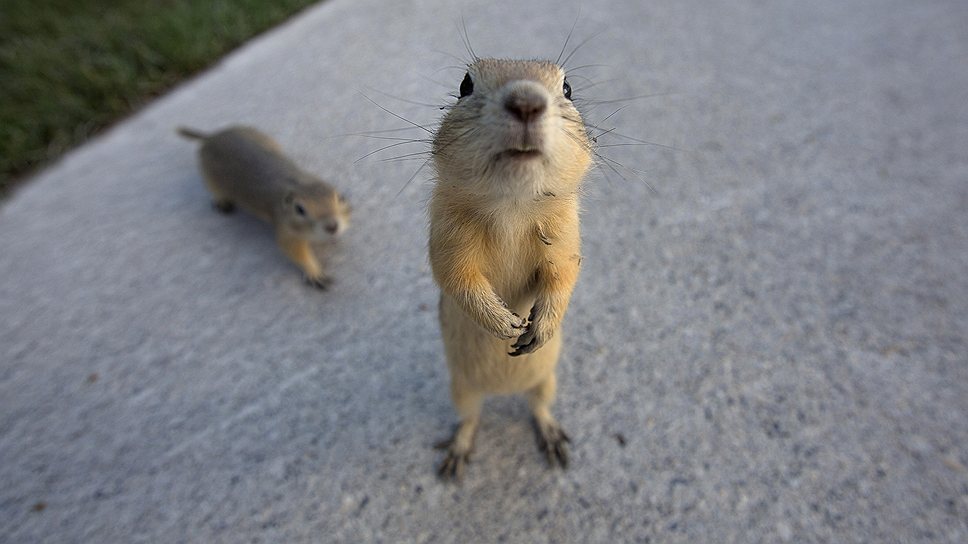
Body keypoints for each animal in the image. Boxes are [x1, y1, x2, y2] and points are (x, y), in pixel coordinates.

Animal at [179, 125, 352, 288]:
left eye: (341, 198)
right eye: (299, 209)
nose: (332, 226)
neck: (298, 183)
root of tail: (211, 136)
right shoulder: (286, 231)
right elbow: (295, 251)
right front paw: (314, 273)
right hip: (210, 180)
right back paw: (222, 202)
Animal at [430, 57, 592, 478]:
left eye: (568, 88)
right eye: (465, 85)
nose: (526, 103)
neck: (512, 207)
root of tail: (501, 392)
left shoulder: (566, 238)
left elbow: (563, 275)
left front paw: (539, 327)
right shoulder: (446, 237)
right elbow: (456, 277)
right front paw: (505, 324)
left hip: (546, 381)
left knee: (538, 407)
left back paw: (552, 438)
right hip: (461, 390)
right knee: (470, 418)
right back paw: (457, 453)